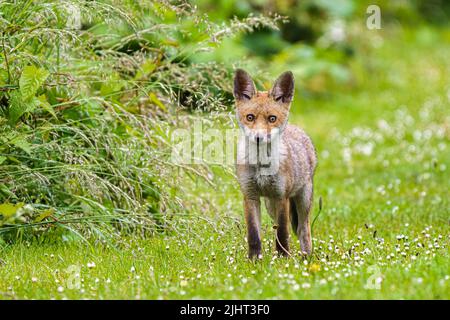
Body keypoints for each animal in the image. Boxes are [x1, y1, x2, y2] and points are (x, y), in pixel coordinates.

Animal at [236, 69, 316, 258]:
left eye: (272, 118)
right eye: (250, 117)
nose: (258, 138)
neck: (261, 165)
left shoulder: (281, 196)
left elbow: (283, 232)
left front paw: (282, 257)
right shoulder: (250, 196)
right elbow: (254, 233)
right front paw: (254, 259)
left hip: (303, 200)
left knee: (303, 230)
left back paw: (306, 258)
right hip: (269, 204)